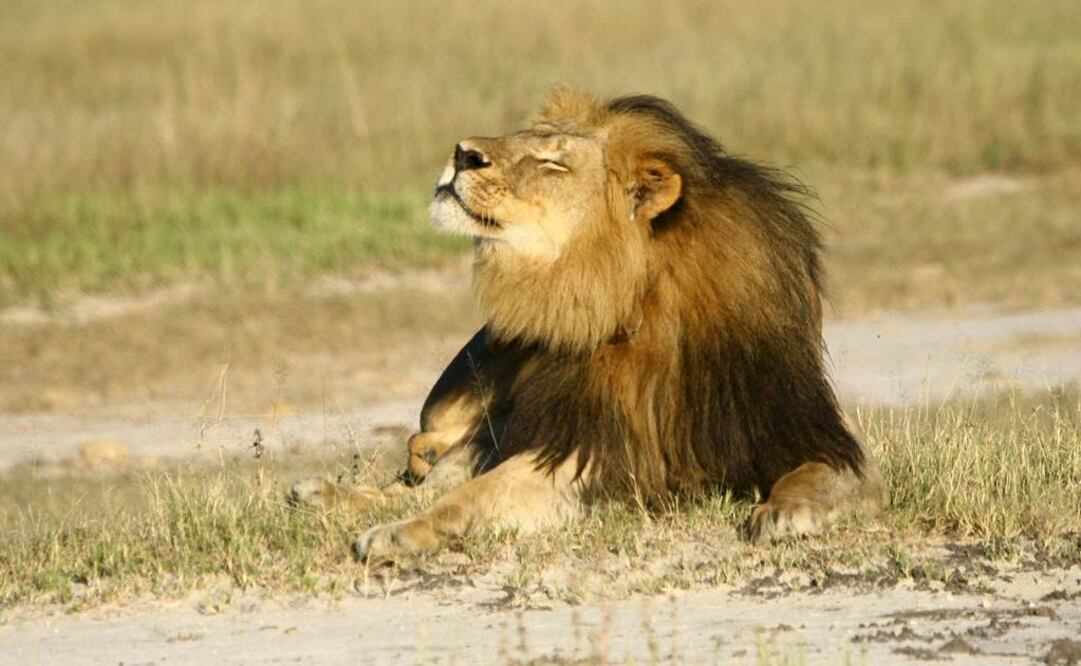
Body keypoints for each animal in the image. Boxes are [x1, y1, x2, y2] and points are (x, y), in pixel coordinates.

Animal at [291, 90, 886, 560]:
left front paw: (787, 512)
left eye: (553, 164)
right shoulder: (584, 446)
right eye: (522, 138)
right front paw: (397, 533)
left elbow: (825, 472)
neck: (630, 296)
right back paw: (324, 493)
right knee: (424, 473)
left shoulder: (802, 430)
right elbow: (469, 495)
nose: (462, 153)